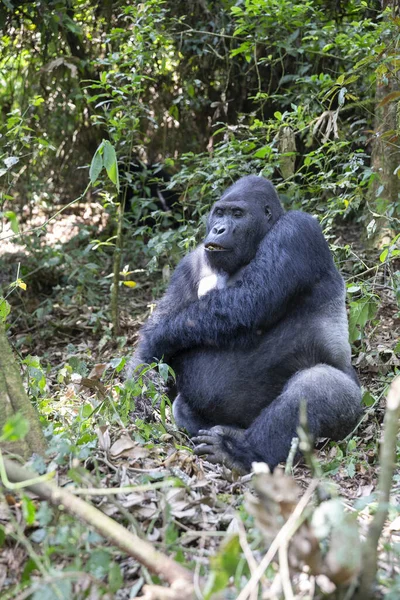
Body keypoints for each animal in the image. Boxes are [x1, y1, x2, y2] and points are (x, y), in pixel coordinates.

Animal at [127, 175, 362, 474]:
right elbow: (167, 314)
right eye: (219, 212)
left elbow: (250, 300)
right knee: (183, 408)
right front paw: (140, 379)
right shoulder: (190, 263)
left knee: (316, 387)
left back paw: (242, 451)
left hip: (353, 410)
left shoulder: (297, 230)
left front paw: (157, 339)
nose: (218, 228)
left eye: (237, 214)